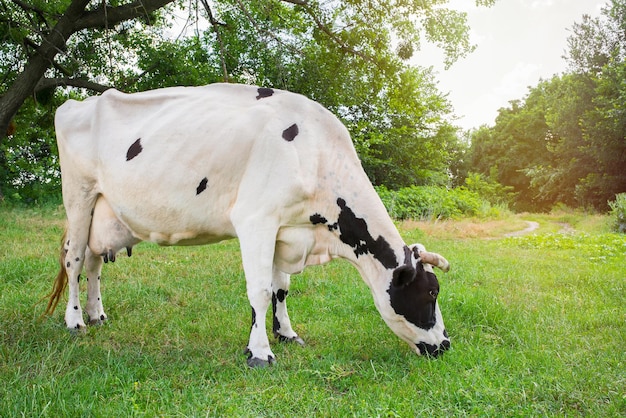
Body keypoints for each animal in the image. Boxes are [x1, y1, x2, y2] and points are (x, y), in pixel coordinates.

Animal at [46, 83, 450, 368]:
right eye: (431, 293)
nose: (446, 345)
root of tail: (77, 103)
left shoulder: (285, 230)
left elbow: (281, 288)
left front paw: (286, 333)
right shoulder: (257, 219)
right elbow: (259, 290)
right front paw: (259, 352)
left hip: (104, 213)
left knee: (95, 262)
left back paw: (97, 314)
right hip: (79, 198)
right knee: (74, 260)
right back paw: (75, 320)